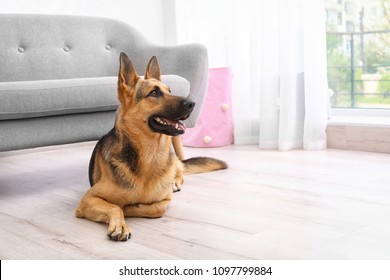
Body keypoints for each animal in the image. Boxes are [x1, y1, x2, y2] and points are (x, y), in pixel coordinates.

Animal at [75, 53, 227, 241]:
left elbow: (156, 208)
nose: (192, 104)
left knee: (180, 170)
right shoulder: (88, 198)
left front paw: (131, 207)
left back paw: (175, 180)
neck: (150, 155)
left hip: (175, 163)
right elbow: (115, 206)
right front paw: (120, 224)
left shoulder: (165, 200)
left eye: (170, 91)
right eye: (154, 93)